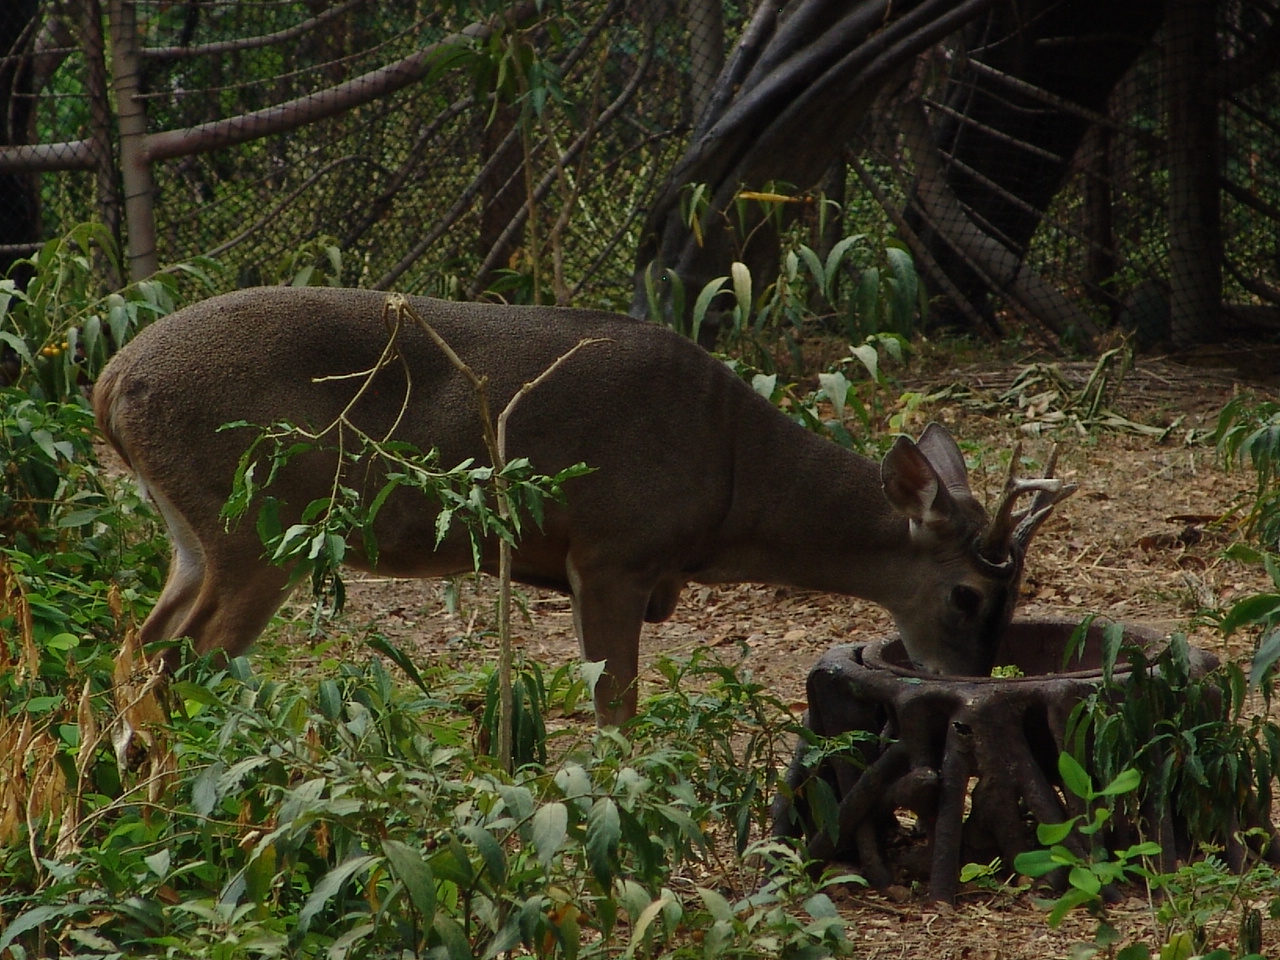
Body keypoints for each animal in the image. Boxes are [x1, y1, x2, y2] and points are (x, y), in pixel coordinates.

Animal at [93, 286, 1074, 726]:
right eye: (968, 594)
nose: (972, 682)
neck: (732, 479)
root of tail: (108, 383)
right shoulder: (611, 551)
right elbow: (616, 706)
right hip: (256, 523)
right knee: (192, 655)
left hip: (193, 533)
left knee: (142, 644)